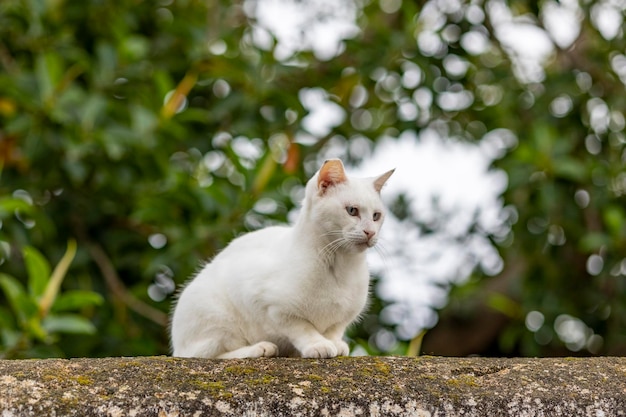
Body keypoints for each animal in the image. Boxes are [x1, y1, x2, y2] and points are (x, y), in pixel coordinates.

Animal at [168, 159, 388, 358]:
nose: (370, 232)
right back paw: (260, 349)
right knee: (209, 354)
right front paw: (318, 345)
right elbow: (303, 329)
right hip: (216, 316)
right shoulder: (271, 307)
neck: (341, 266)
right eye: (352, 211)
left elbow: (333, 331)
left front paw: (335, 344)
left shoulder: (341, 319)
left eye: (376, 216)